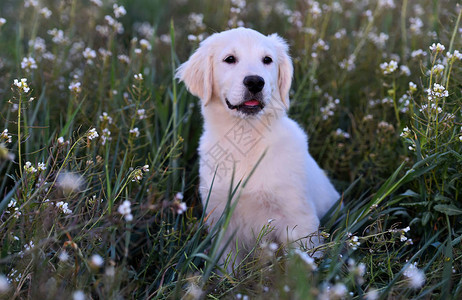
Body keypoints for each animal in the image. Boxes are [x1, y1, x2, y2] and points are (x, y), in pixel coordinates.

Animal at [176, 26, 340, 270]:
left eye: (267, 60)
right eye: (230, 59)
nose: (255, 82)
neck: (249, 137)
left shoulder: (298, 218)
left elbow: (301, 263)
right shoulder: (222, 221)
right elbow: (228, 269)